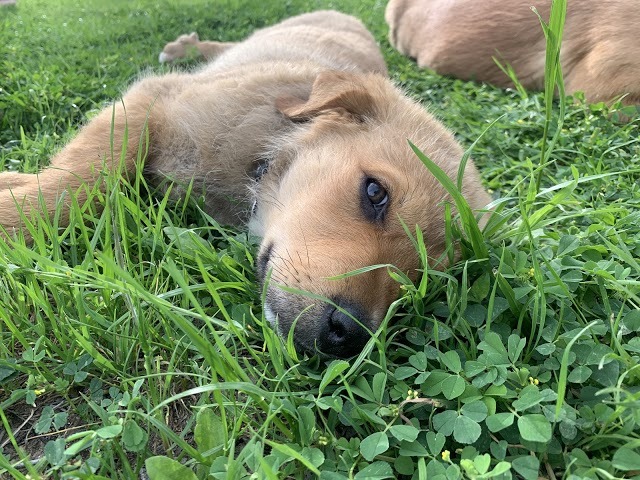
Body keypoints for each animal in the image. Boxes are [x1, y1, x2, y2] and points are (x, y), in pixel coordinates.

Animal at [0, 10, 490, 356]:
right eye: (375, 192)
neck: (262, 158)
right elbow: (77, 182)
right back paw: (181, 46)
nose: (348, 335)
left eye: (425, 273)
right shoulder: (151, 100)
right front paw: (14, 203)